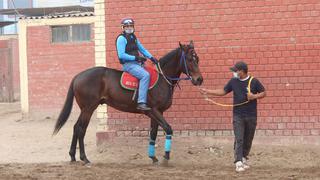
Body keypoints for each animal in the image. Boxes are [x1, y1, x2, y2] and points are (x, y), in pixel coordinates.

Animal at [52, 40, 202, 165]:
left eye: (197, 59)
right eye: (189, 59)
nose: (199, 79)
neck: (162, 79)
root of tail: (78, 76)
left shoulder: (157, 113)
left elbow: (153, 133)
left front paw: (153, 157)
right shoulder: (154, 111)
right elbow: (168, 128)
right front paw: (166, 156)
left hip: (85, 109)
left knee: (76, 127)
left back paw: (73, 156)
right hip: (88, 108)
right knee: (81, 129)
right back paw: (84, 158)